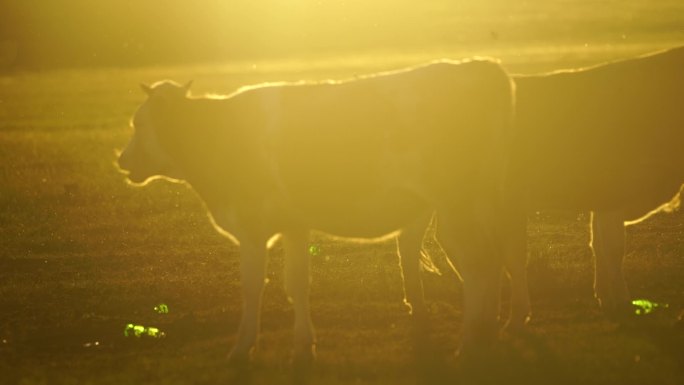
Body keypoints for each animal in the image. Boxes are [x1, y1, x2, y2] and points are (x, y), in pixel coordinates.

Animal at [117, 59, 512, 364]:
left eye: (139, 123)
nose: (121, 160)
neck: (219, 136)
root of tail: (480, 66)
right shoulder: (294, 226)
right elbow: (297, 284)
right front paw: (304, 345)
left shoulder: (252, 228)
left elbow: (252, 287)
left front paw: (242, 347)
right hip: (479, 203)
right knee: (492, 263)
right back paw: (487, 336)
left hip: (457, 203)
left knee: (477, 266)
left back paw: (469, 346)